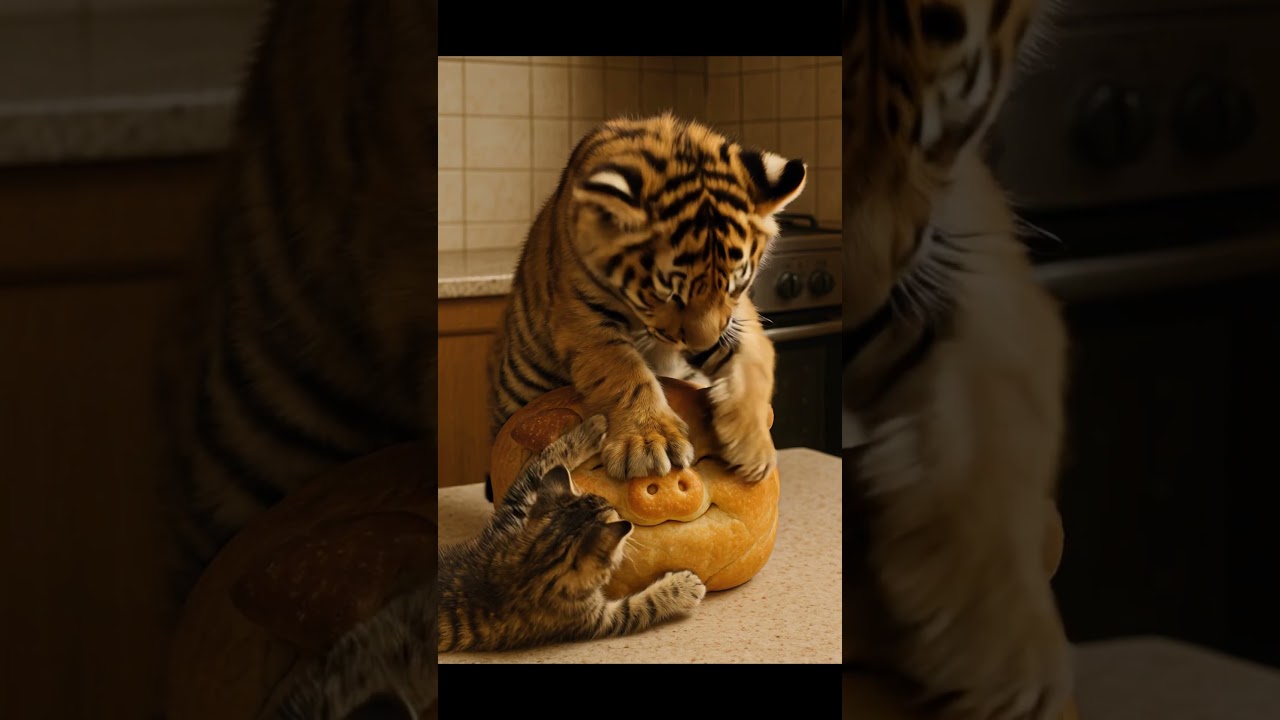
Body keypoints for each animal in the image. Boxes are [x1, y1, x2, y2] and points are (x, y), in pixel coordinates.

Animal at [486, 112, 807, 491]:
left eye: (734, 286)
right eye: (669, 293)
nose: (703, 345)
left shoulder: (735, 318)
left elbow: (753, 363)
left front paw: (753, 448)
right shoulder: (582, 315)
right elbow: (622, 371)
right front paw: (650, 441)